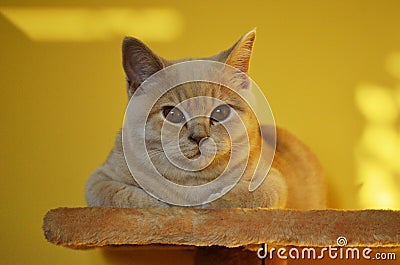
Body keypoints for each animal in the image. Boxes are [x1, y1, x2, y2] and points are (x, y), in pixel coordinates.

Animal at [86, 30, 326, 208]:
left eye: (220, 113)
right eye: (172, 113)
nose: (199, 136)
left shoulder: (273, 180)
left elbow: (247, 195)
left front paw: (210, 200)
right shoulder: (98, 180)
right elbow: (122, 195)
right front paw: (161, 203)